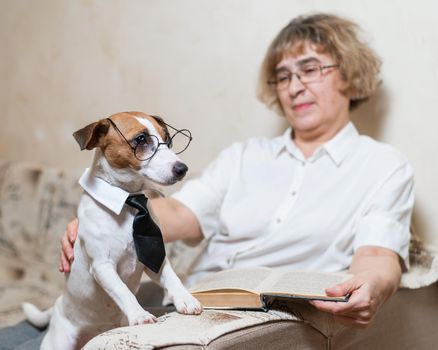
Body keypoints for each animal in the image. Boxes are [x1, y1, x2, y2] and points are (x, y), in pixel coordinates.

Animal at [23, 112, 203, 350]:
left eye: (168, 139)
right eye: (141, 139)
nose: (182, 169)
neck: (129, 200)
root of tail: (58, 304)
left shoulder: (154, 257)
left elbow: (172, 279)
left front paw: (185, 299)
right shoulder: (102, 266)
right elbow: (122, 291)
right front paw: (139, 315)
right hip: (59, 342)